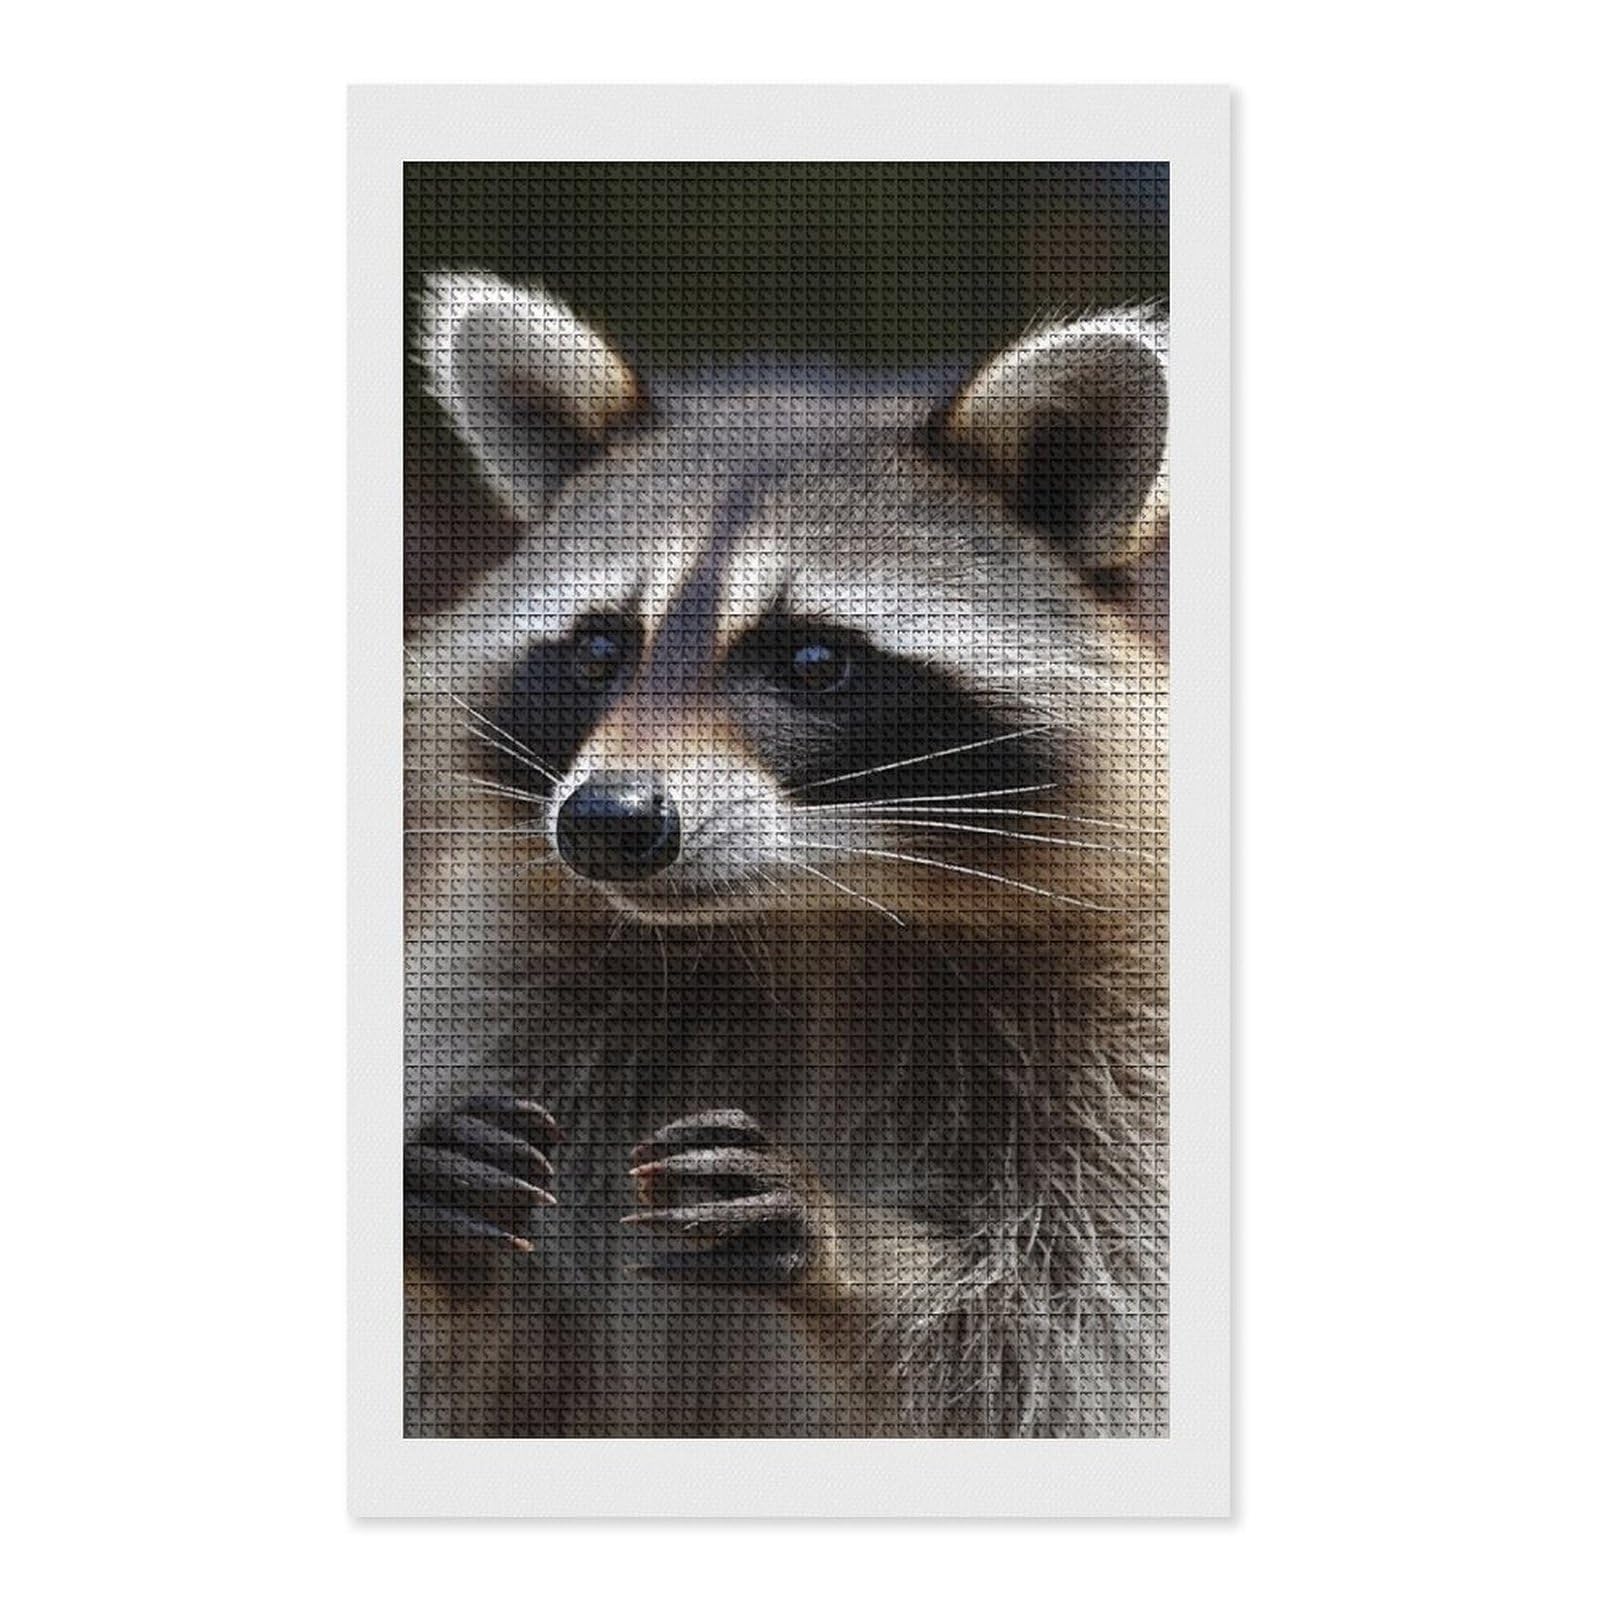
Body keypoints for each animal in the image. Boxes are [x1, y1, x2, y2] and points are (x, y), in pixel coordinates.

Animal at [404, 274, 1169, 1438]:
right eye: (599, 647)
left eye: (812, 658)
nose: (606, 820)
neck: (807, 919)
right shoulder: (508, 983)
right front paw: (454, 1274)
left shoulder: (1125, 1033)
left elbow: (1071, 1347)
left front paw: (854, 1254)